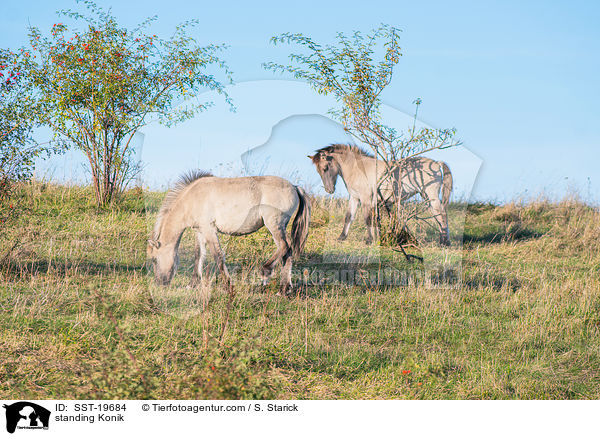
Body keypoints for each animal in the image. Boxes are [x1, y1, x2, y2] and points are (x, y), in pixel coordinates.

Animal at [148, 170, 312, 292]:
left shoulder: (209, 229)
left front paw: (228, 285)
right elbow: (198, 255)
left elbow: (218, 255)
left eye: (154, 259)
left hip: (274, 224)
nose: (159, 283)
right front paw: (192, 284)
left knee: (285, 247)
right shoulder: (200, 231)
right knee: (287, 253)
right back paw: (284, 289)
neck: (191, 198)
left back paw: (266, 272)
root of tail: (294, 187)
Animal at [308, 144, 452, 244]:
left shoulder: (365, 198)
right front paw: (342, 237)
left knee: (442, 215)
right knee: (438, 216)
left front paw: (369, 240)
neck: (357, 168)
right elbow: (349, 217)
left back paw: (444, 243)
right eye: (318, 171)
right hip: (427, 197)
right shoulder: (354, 198)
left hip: (431, 196)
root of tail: (436, 163)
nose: (329, 190)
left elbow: (367, 218)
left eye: (325, 168)